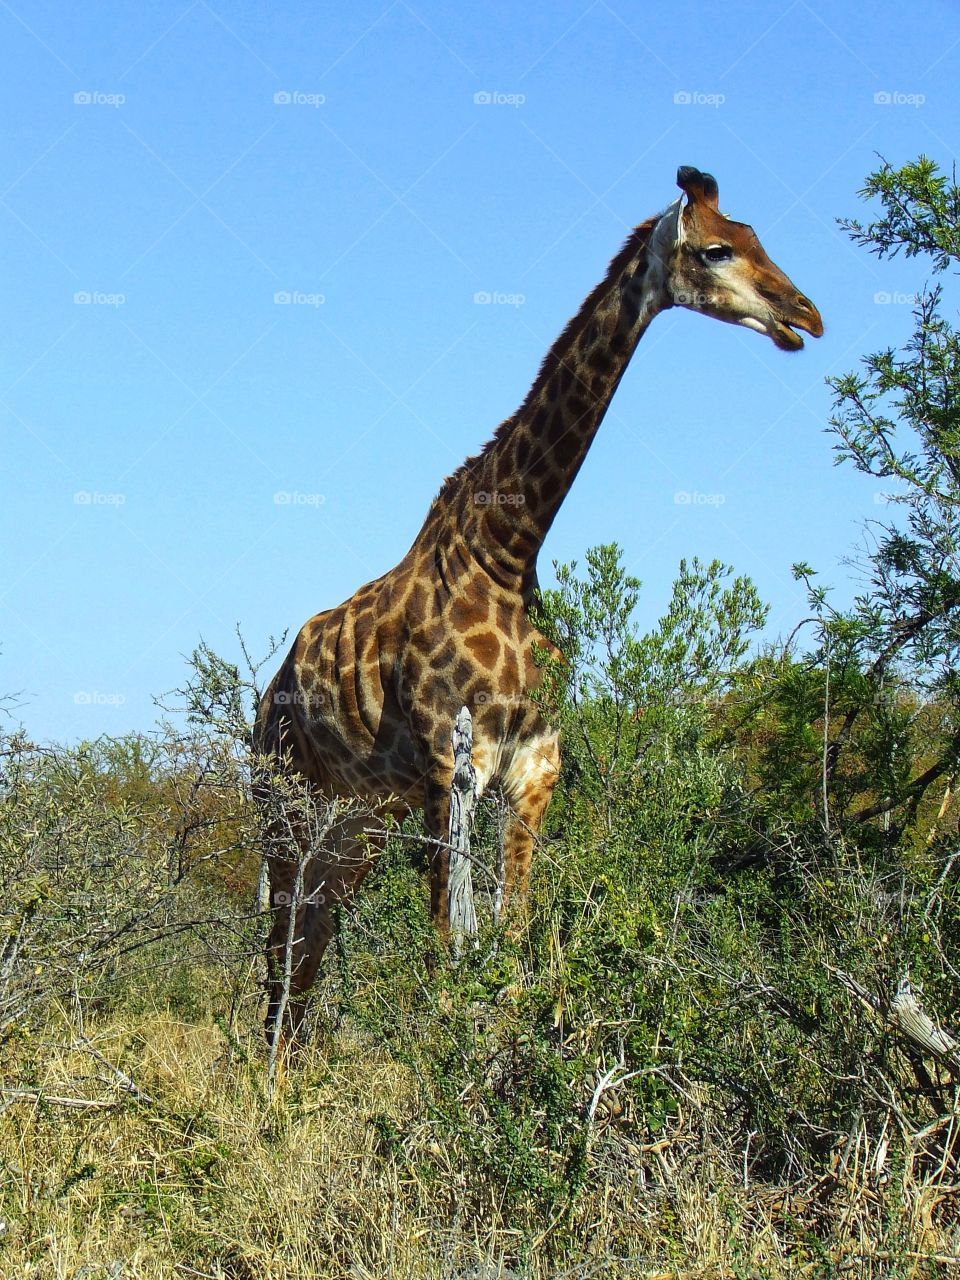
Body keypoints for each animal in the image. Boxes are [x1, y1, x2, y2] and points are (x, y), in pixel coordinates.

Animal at [253, 165, 823, 1043]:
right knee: (275, 960)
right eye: (717, 249)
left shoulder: (535, 764)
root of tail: (264, 699)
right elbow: (448, 954)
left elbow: (515, 946)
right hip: (285, 815)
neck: (507, 549)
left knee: (309, 948)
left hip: (355, 826)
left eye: (759, 237)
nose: (805, 316)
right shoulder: (449, 764)